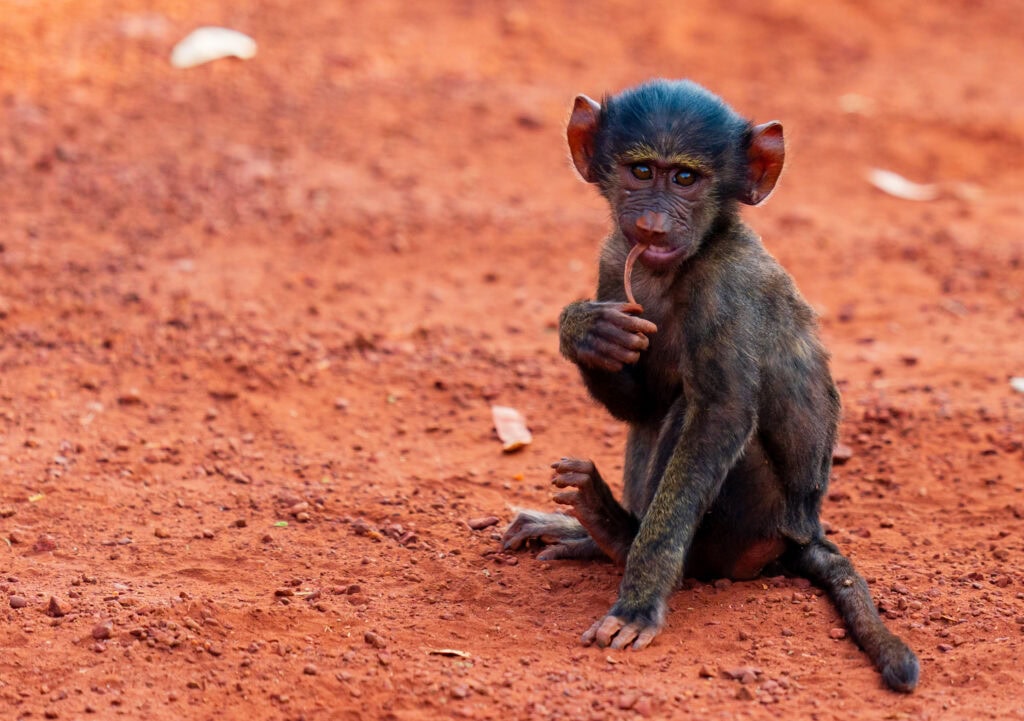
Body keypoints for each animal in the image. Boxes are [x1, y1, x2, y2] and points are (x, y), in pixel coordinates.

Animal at [502, 79, 920, 692]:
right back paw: (595, 531)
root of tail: (805, 531)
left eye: (686, 179)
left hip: (754, 533)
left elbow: (720, 415)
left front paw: (640, 603)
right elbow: (641, 404)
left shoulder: (725, 288)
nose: (654, 224)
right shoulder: (613, 262)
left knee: (688, 419)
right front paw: (586, 331)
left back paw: (618, 536)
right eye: (642, 171)